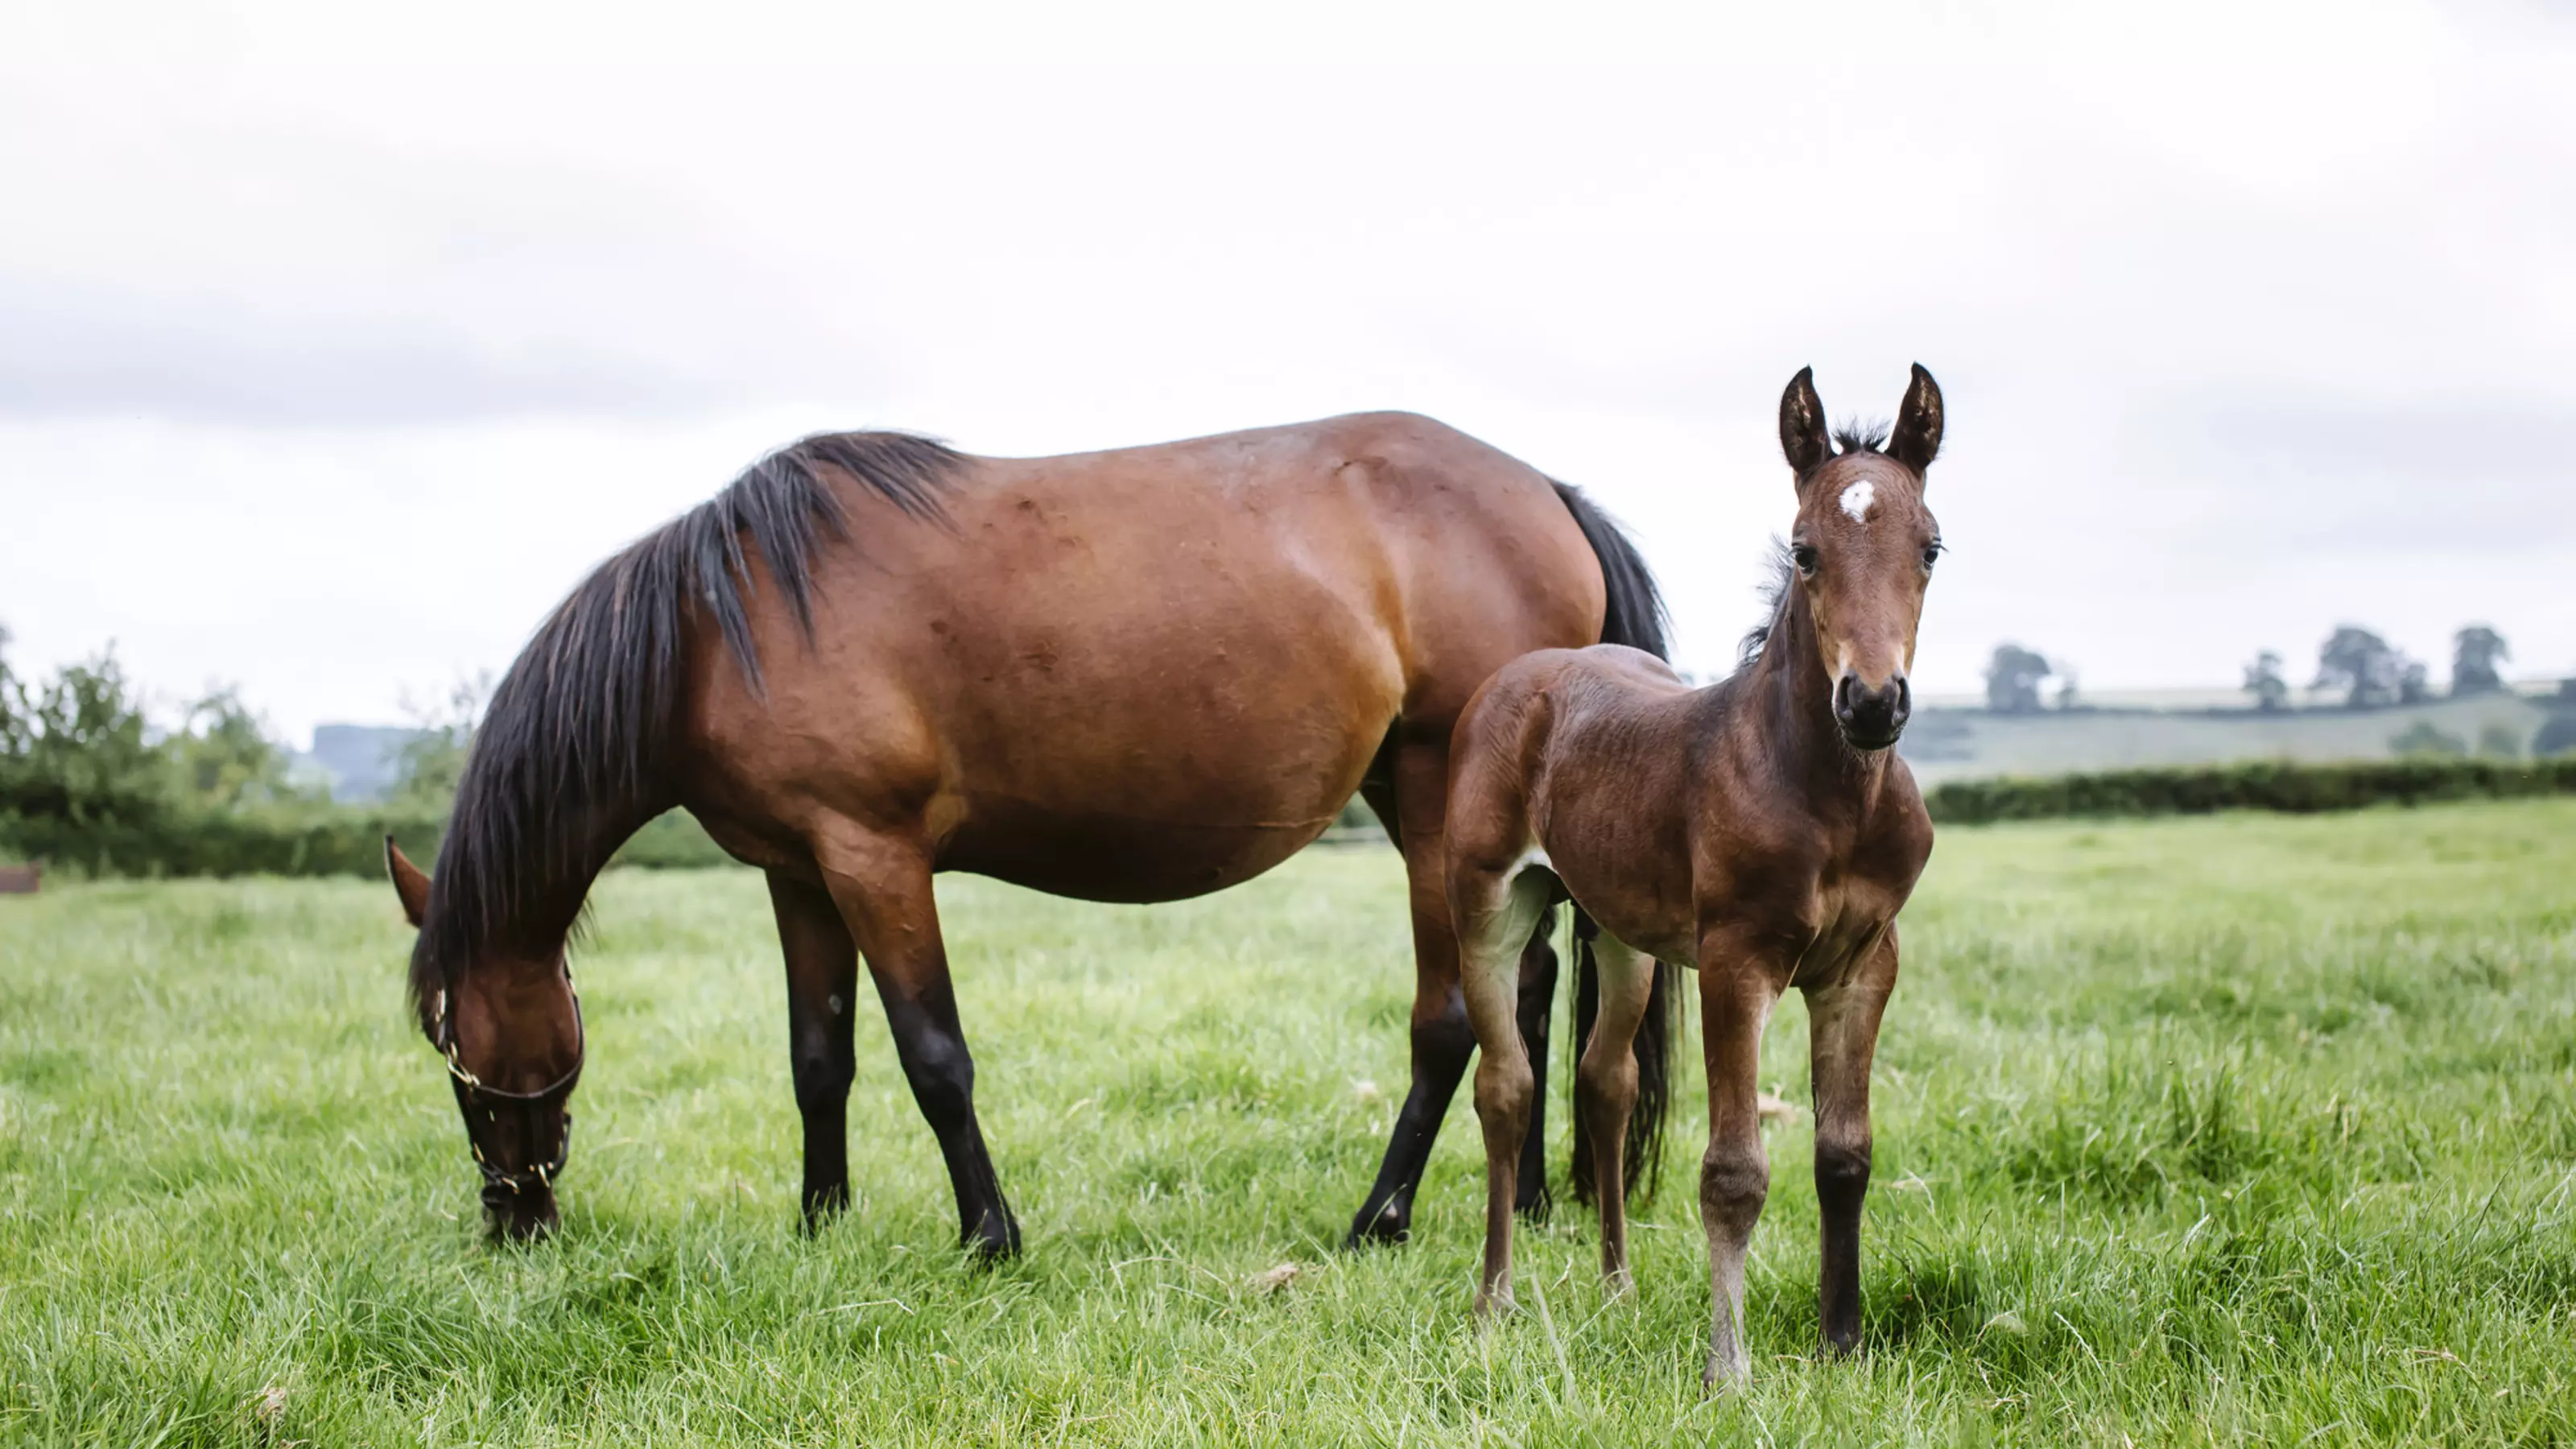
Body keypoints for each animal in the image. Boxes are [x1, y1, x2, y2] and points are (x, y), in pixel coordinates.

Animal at [376, 412, 1669, 1248]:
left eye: (450, 1046)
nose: (513, 1219)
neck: (719, 627)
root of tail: (1547, 492)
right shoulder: (800, 874)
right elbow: (819, 1060)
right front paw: (818, 1229)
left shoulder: (874, 858)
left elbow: (933, 1056)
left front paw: (988, 1237)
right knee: (1527, 992)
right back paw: (1531, 1204)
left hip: (1432, 798)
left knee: (1449, 1019)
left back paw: (1380, 1220)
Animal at [1452, 361, 1937, 1371]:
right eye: (1803, 552)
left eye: (1929, 549)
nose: (1871, 703)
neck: (1829, 794)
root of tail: (1527, 676)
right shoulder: (1735, 962)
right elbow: (1732, 1171)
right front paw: (1728, 1368)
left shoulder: (1864, 965)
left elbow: (1844, 1154)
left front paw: (1841, 1346)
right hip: (1486, 904)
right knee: (1505, 1087)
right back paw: (1494, 1300)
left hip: (1619, 934)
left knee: (1604, 1084)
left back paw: (1616, 1287)